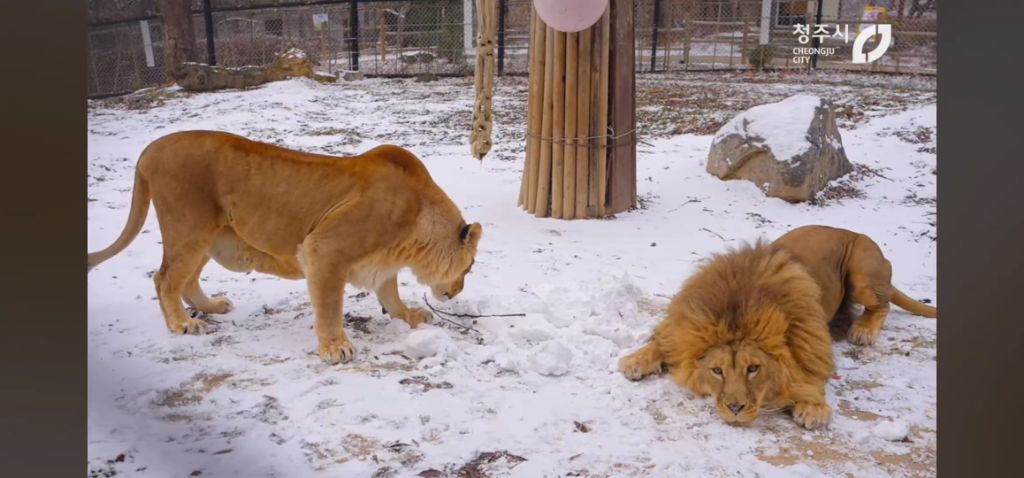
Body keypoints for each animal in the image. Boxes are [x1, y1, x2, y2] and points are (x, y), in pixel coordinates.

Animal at [87, 131, 483, 362]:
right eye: (469, 267)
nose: (458, 291)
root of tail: (149, 149)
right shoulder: (324, 249)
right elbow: (330, 306)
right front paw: (335, 347)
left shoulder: (381, 265)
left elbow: (391, 297)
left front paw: (412, 316)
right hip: (188, 227)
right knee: (165, 278)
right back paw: (182, 324)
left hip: (209, 234)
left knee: (186, 279)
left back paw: (212, 307)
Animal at [614, 226, 937, 431]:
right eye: (717, 371)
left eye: (753, 369)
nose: (735, 409)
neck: (737, 307)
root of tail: (854, 233)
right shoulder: (684, 323)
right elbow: (662, 342)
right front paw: (635, 361)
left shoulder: (808, 339)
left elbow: (809, 374)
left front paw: (813, 407)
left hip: (863, 274)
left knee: (882, 306)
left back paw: (863, 330)